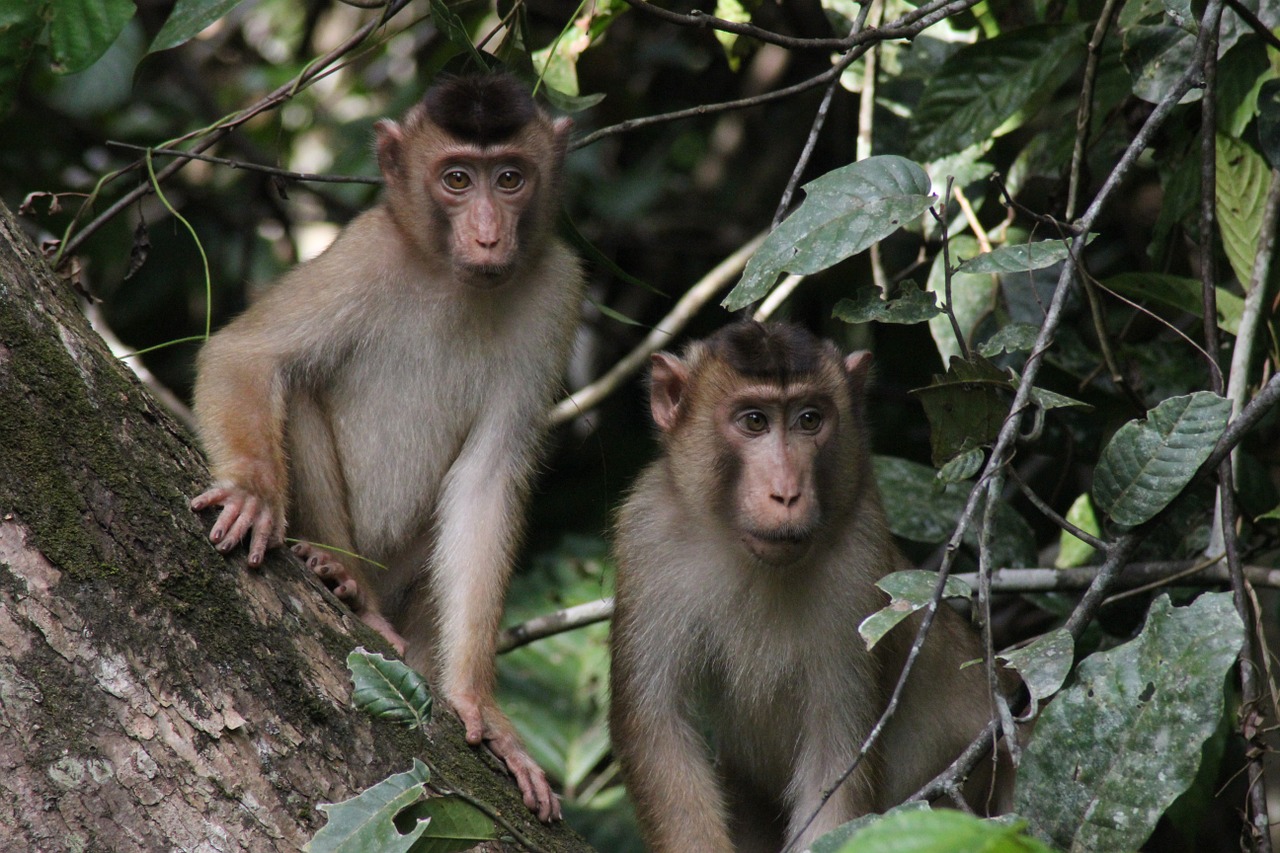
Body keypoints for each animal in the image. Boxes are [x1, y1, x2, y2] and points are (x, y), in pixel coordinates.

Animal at [188, 73, 581, 819]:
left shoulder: (555, 295)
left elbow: (486, 482)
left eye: (510, 178)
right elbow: (247, 355)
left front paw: (479, 703)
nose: (488, 235)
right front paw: (252, 493)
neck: (449, 277)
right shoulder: (363, 252)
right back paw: (347, 580)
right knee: (299, 386)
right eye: (456, 179)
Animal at [609, 320, 1008, 850]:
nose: (787, 493)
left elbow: (837, 759)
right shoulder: (647, 535)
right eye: (754, 421)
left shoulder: (859, 565)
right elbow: (657, 728)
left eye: (809, 420)